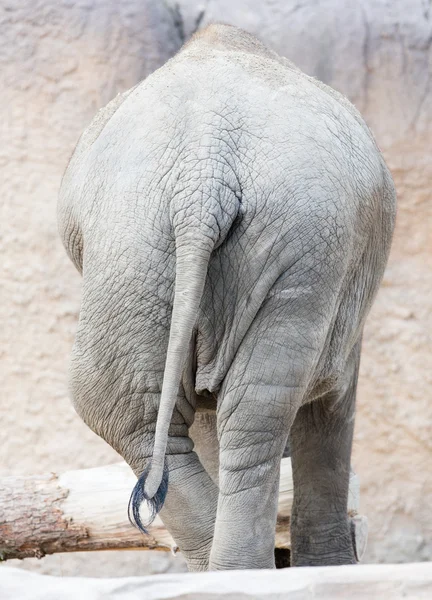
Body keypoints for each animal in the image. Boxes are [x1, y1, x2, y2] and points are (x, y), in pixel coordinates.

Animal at [59, 25, 396, 568]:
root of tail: (202, 174)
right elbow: (331, 401)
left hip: (134, 243)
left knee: (126, 407)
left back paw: (221, 569)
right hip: (288, 241)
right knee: (252, 408)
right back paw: (238, 570)